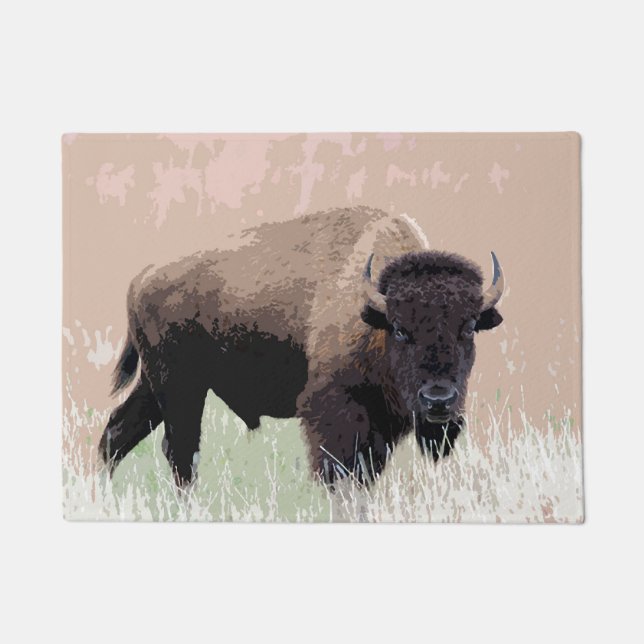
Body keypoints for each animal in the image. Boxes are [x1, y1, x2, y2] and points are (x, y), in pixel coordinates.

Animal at [99, 206, 504, 487]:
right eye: (401, 330)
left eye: (469, 327)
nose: (439, 400)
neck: (372, 308)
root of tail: (143, 276)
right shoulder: (336, 413)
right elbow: (338, 472)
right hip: (180, 388)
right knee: (180, 452)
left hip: (156, 386)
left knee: (117, 435)